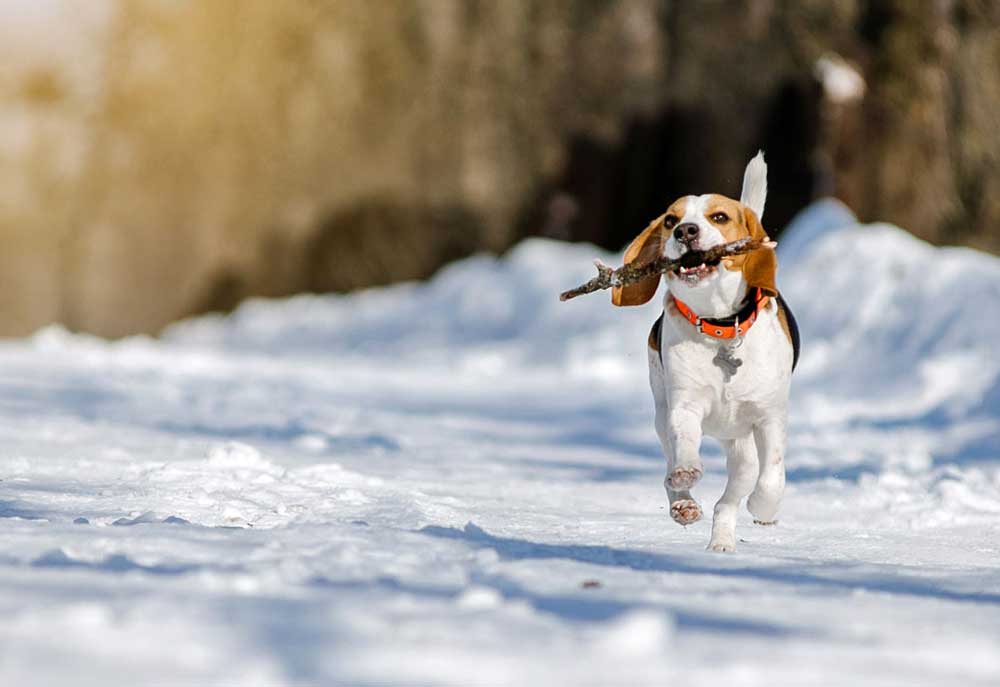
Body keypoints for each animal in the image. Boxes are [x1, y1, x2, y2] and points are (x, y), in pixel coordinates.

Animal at [608, 153, 796, 552]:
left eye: (719, 217)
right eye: (670, 220)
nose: (685, 232)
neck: (720, 326)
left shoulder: (769, 416)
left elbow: (772, 476)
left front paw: (764, 507)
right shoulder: (685, 407)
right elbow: (685, 448)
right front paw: (686, 473)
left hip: (742, 448)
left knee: (733, 495)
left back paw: (724, 537)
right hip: (661, 416)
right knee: (672, 472)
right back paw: (684, 504)